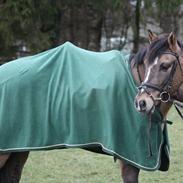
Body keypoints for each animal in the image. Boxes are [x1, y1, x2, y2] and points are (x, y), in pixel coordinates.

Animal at [0, 30, 174, 182]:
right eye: (147, 63)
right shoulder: (130, 159)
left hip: (18, 149)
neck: (135, 78)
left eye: (165, 66)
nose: (141, 103)